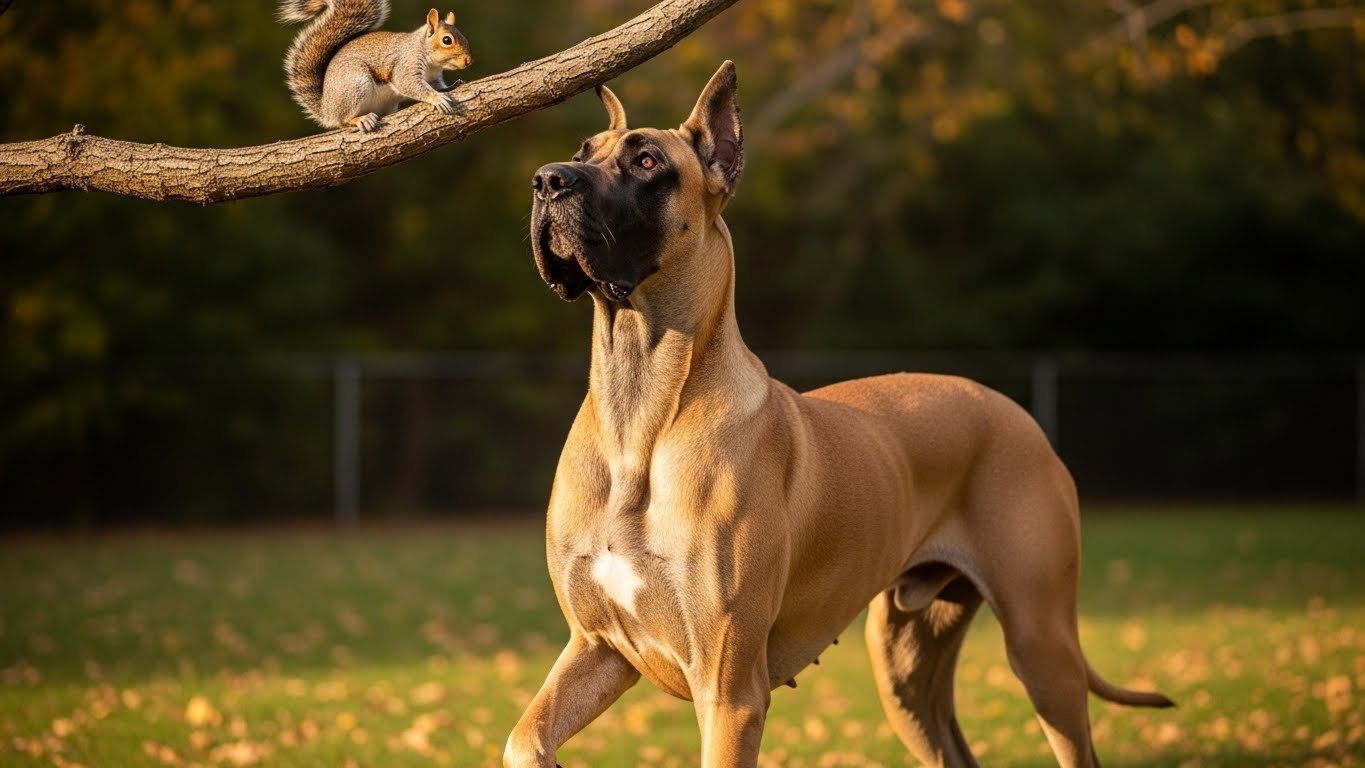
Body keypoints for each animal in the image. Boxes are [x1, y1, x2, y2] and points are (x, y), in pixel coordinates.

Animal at [279, 0, 473, 132]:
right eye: (447, 40)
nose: (468, 61)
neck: (431, 62)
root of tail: (326, 109)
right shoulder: (406, 63)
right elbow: (409, 83)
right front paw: (436, 98)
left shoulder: (434, 77)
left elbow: (438, 85)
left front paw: (451, 87)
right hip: (354, 85)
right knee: (342, 121)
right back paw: (359, 120)